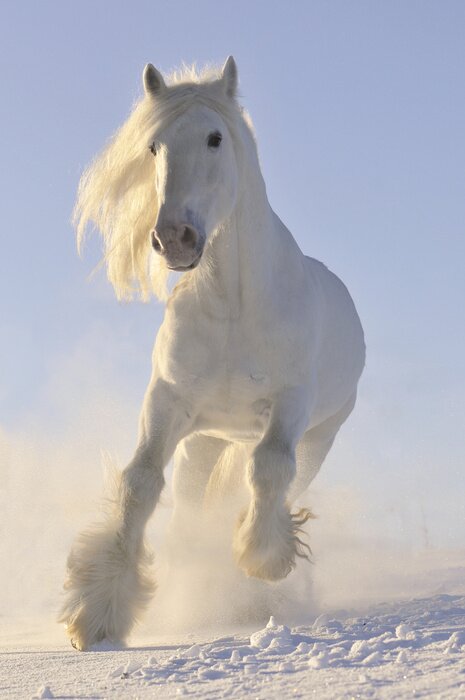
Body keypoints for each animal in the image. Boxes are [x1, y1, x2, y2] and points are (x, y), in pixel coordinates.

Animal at [59, 57, 365, 650]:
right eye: (153, 146)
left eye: (215, 138)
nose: (173, 238)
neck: (233, 307)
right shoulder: (167, 403)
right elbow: (139, 484)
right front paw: (100, 614)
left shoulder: (290, 404)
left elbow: (269, 469)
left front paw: (264, 562)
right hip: (203, 443)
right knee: (191, 508)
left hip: (319, 436)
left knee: (281, 478)